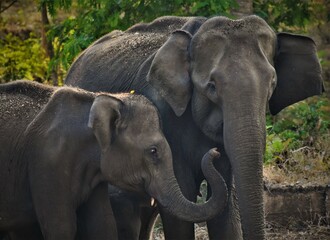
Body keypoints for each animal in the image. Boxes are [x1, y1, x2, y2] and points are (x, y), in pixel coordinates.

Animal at [0, 81, 227, 240]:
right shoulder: (47, 163)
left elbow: (102, 224)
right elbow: (61, 227)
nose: (215, 151)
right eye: (153, 151)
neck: (96, 100)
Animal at [65, 15, 324, 239]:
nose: (214, 152)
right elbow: (183, 196)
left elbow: (227, 206)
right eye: (212, 86)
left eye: (272, 83)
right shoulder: (164, 117)